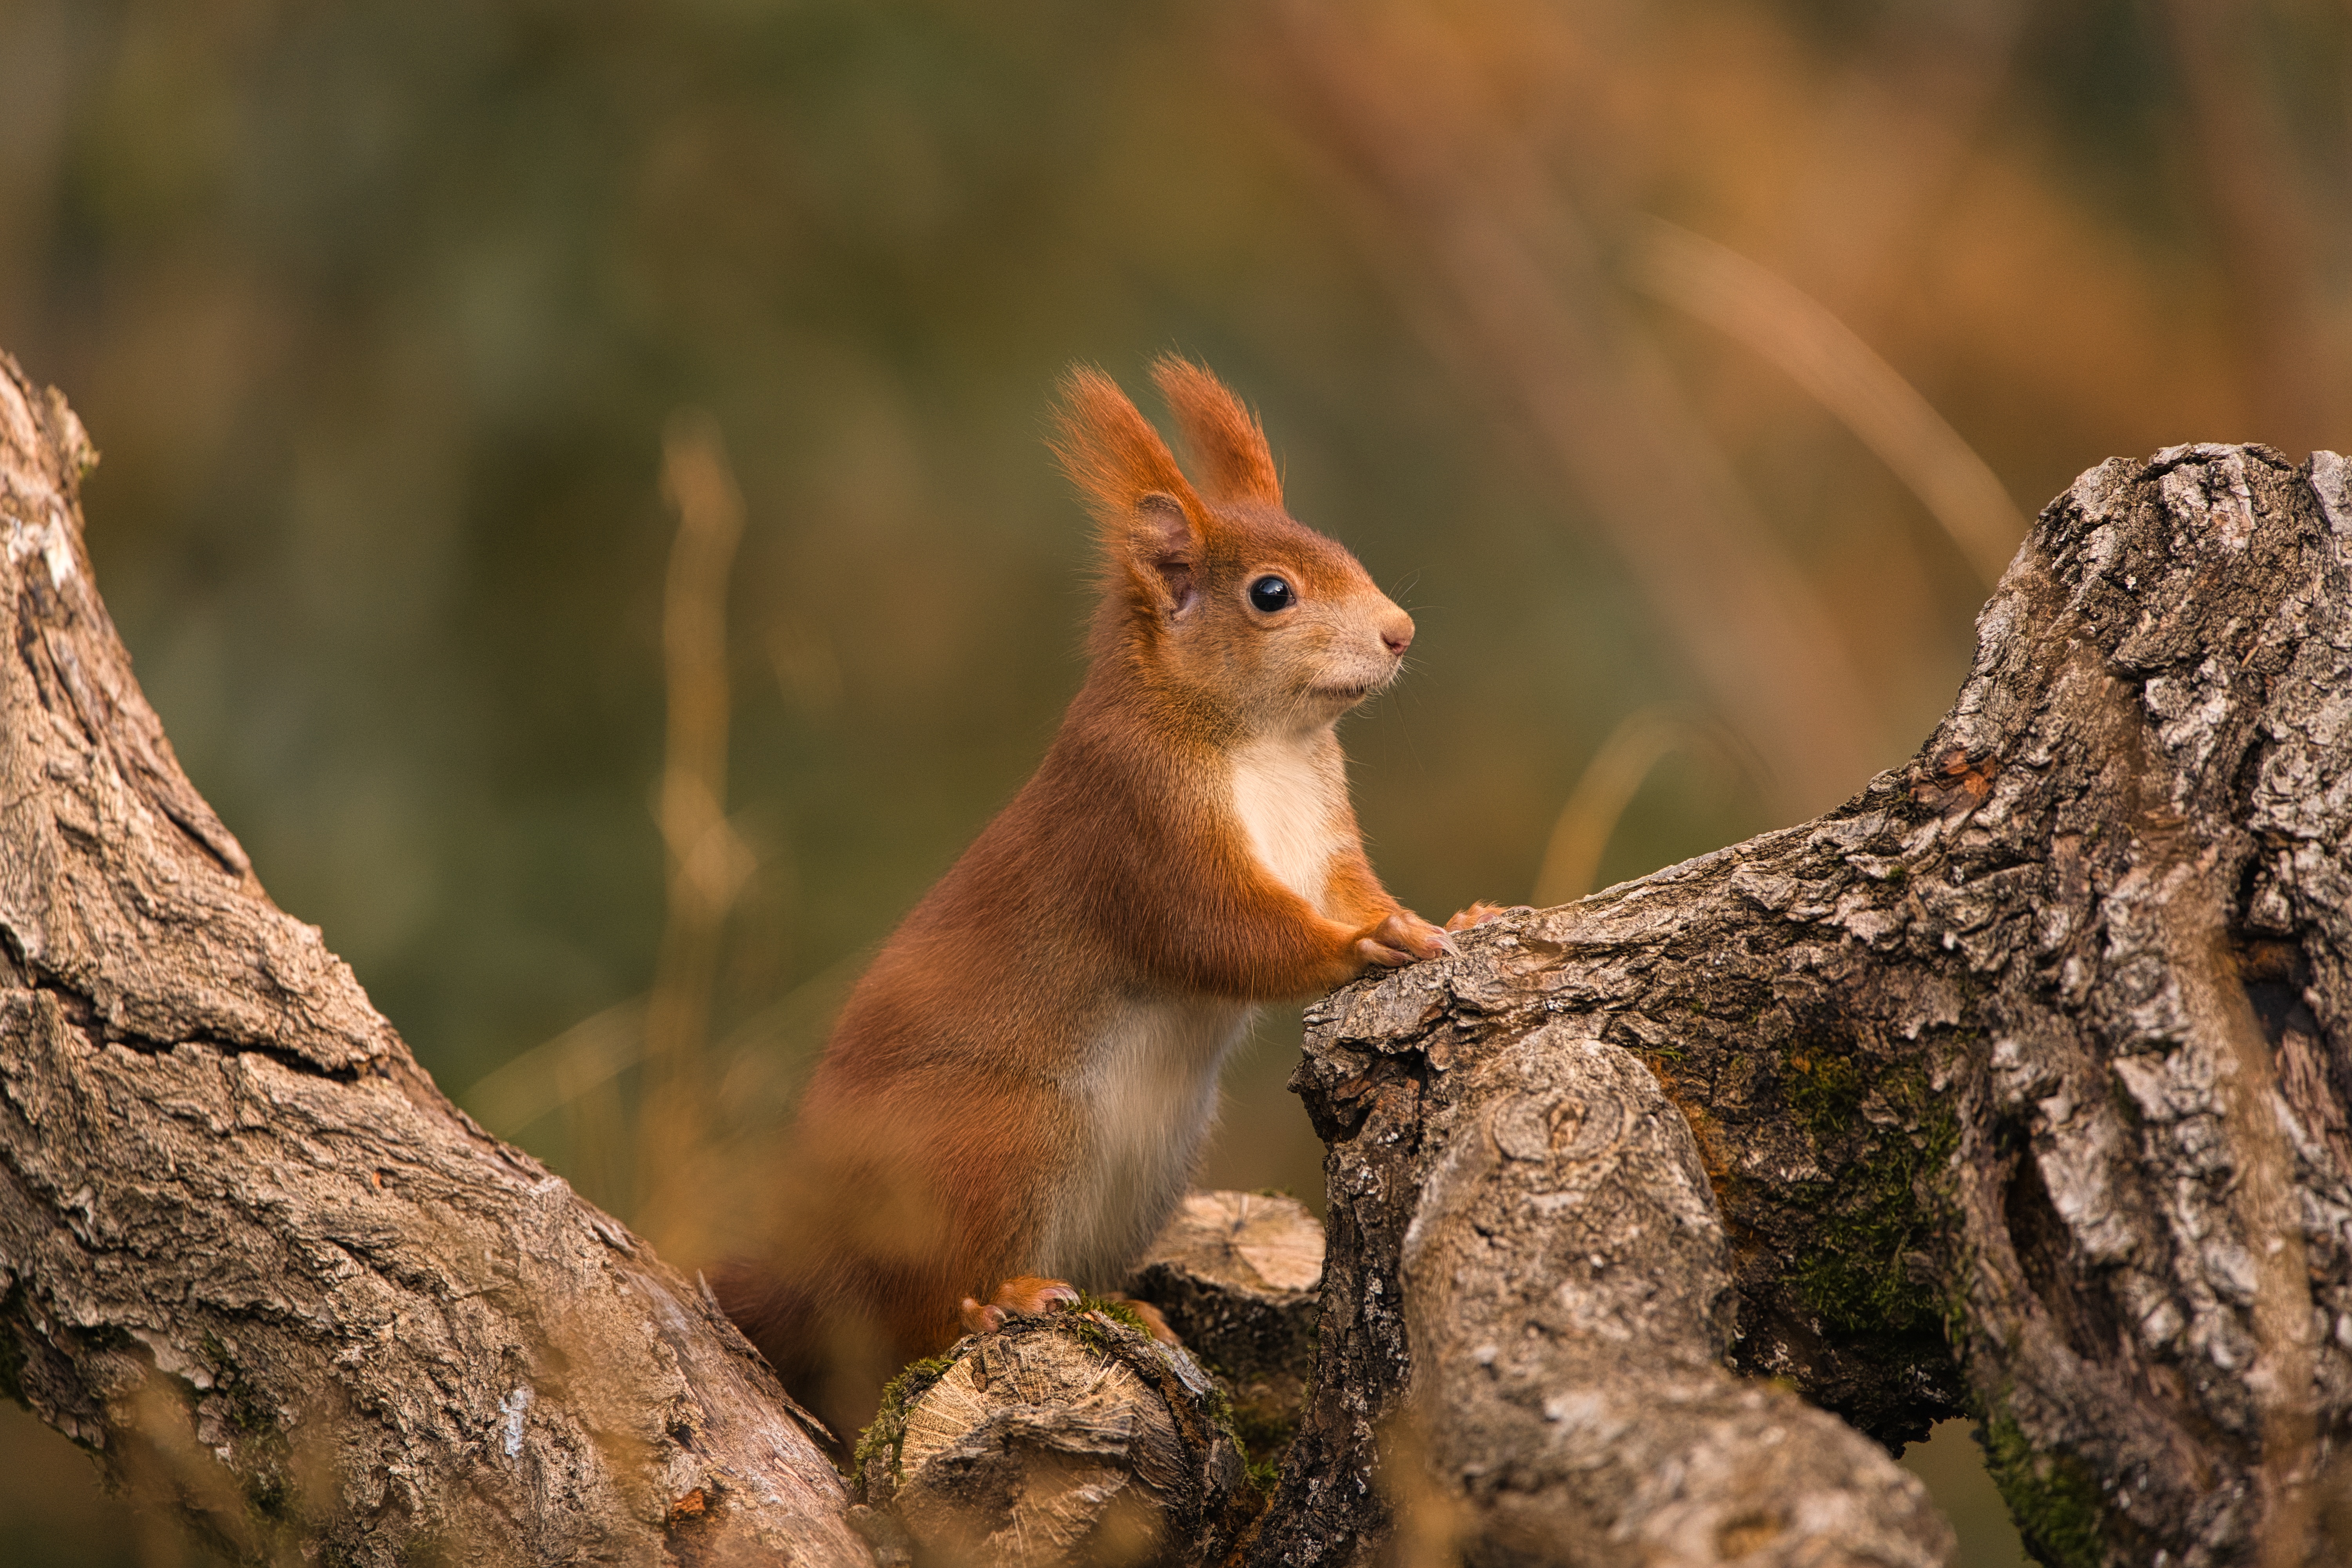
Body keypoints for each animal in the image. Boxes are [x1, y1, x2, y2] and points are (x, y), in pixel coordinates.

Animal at [714, 358, 1499, 1442]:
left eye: (1341, 548)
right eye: (1270, 593)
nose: (1400, 631)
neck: (1261, 742)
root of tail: (817, 1256)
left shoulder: (1325, 843)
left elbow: (1343, 891)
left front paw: (1453, 918)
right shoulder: (1138, 831)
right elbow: (1228, 936)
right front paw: (1375, 942)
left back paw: (1123, 1304)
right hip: (994, 1144)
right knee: (911, 1312)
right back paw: (994, 1300)